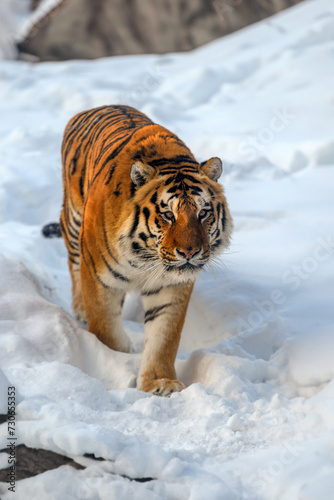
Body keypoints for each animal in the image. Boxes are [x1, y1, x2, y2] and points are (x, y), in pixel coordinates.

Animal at [43, 105, 232, 398]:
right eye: (168, 215)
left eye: (203, 213)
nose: (189, 252)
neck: (145, 258)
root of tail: (94, 108)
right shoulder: (100, 280)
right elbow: (106, 331)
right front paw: (116, 363)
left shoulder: (170, 288)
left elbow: (164, 338)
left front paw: (161, 382)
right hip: (73, 222)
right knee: (72, 262)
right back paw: (80, 308)